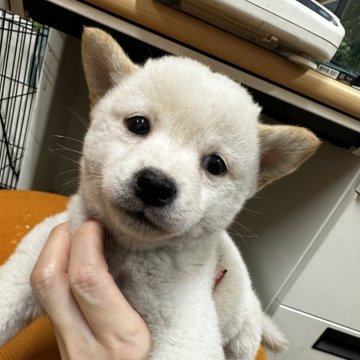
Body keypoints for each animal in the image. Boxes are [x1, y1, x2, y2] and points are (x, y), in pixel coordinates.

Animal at [0, 26, 320, 358]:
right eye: (139, 124)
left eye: (215, 165)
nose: (155, 185)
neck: (126, 252)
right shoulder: (35, 256)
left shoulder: (187, 330)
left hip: (243, 337)